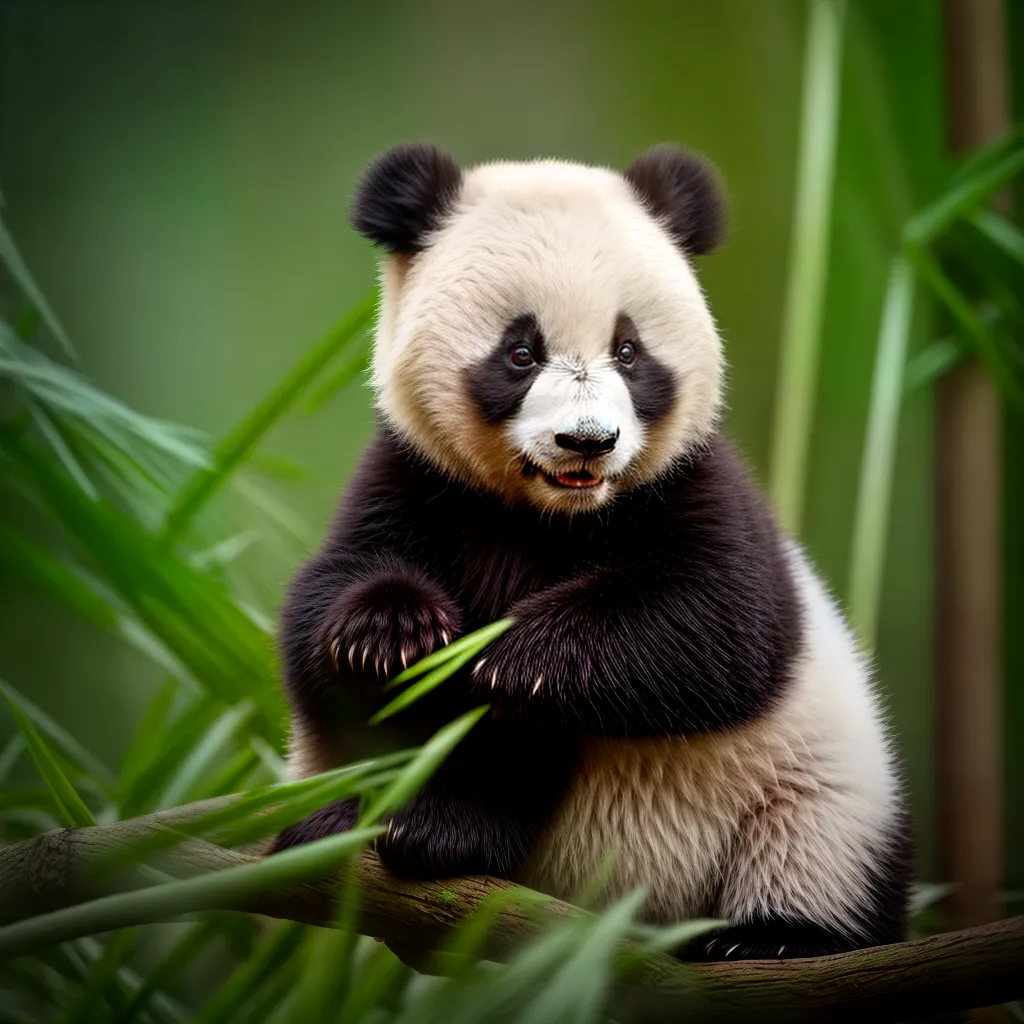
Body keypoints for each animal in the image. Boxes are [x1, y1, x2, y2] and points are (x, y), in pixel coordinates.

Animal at [272, 142, 912, 961]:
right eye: (520, 352)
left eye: (629, 352)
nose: (588, 440)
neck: (552, 517)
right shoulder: (414, 480)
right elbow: (322, 620)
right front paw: (392, 636)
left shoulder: (695, 488)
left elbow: (715, 626)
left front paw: (516, 662)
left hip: (814, 802)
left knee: (814, 851)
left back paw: (764, 939)